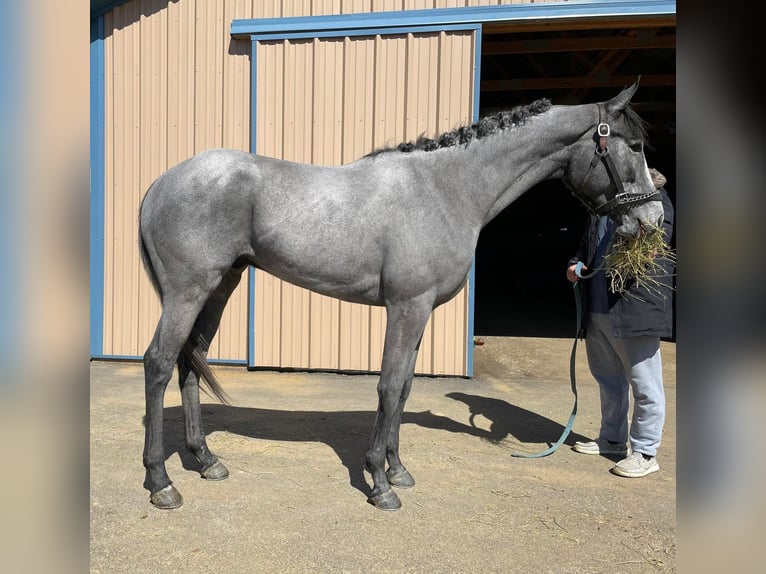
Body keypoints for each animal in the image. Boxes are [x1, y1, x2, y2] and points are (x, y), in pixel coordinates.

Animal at [140, 81, 664, 512]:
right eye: (635, 146)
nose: (652, 219)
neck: (445, 188)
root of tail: (160, 184)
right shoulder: (407, 307)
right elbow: (390, 387)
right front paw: (379, 483)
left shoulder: (421, 311)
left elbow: (406, 387)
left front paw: (397, 470)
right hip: (189, 291)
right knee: (159, 363)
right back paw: (162, 482)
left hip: (219, 287)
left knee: (191, 362)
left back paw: (206, 460)